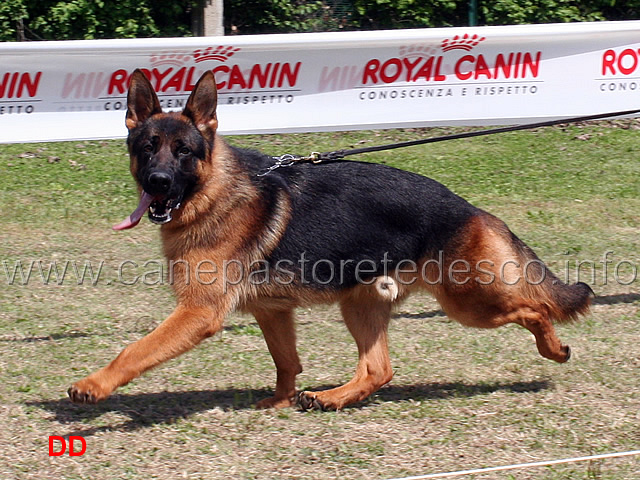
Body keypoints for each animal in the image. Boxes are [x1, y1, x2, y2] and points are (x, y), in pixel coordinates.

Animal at [67, 69, 592, 410]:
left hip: (469, 302)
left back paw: (554, 349)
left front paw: (94, 385)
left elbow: (135, 350)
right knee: (378, 369)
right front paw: (278, 402)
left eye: (183, 152)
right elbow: (286, 361)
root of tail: (470, 209)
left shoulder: (199, 313)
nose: (156, 182)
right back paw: (331, 398)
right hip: (361, 305)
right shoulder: (272, 311)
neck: (214, 192)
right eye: (147, 148)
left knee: (534, 309)